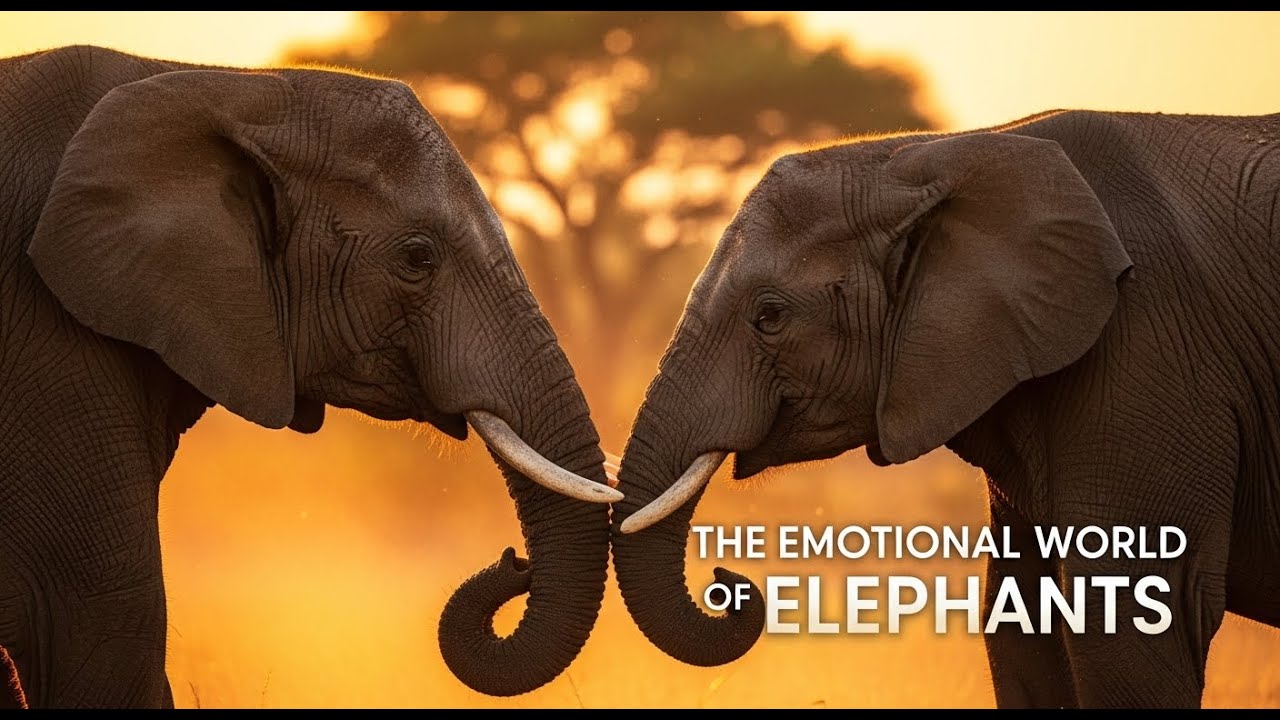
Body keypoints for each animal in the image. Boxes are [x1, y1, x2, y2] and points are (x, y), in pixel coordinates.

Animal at [610, 109, 1280, 708]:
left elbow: (1130, 619)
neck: (935, 153)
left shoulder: (1148, 352)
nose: (728, 583)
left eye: (769, 317)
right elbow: (1019, 619)